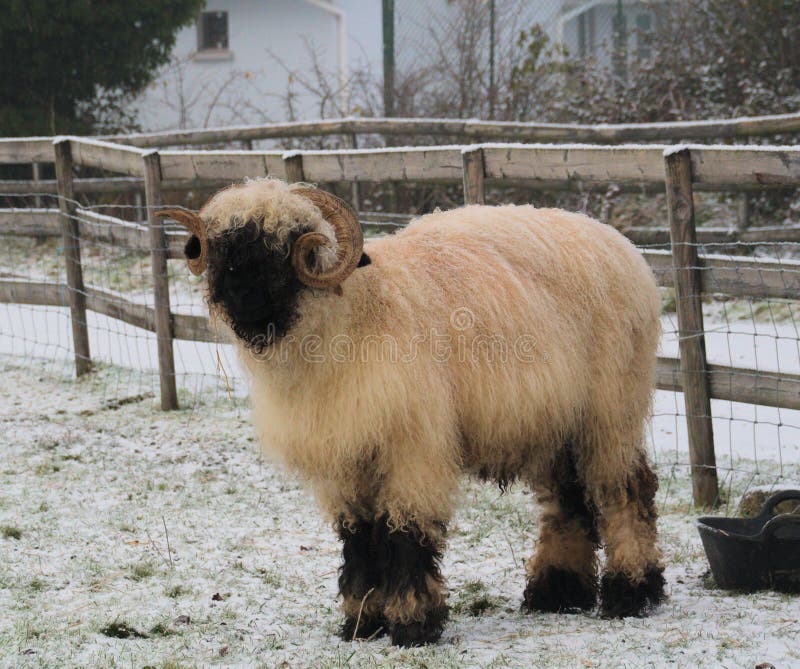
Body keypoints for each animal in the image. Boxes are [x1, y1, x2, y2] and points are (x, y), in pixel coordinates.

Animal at [161, 179, 664, 648]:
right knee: (568, 500)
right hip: (555, 421)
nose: (240, 297)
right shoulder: (345, 458)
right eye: (222, 245)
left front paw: (412, 624)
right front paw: (361, 622)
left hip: (610, 410)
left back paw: (630, 593)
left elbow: (405, 532)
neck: (355, 316)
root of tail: (622, 245)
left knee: (625, 489)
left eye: (288, 243)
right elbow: (360, 538)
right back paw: (557, 594)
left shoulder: (414, 448)